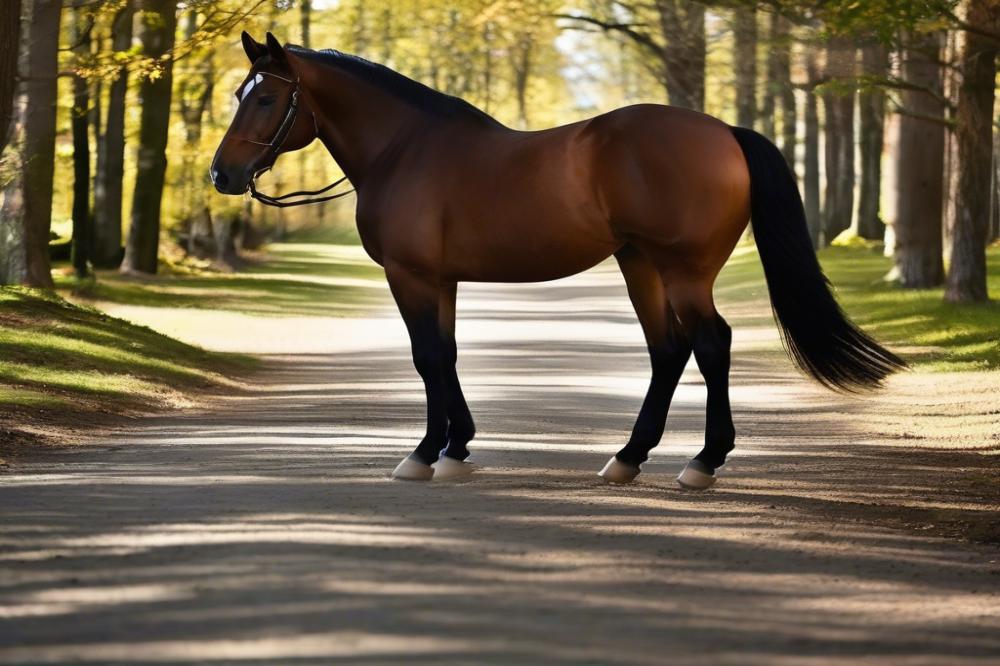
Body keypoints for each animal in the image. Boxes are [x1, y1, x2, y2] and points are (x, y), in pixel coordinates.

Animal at [211, 31, 908, 488]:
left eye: (266, 99)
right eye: (241, 93)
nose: (222, 175)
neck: (405, 149)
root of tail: (724, 133)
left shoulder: (411, 276)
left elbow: (427, 357)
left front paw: (424, 453)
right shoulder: (441, 279)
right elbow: (448, 354)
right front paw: (457, 447)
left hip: (684, 270)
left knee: (710, 344)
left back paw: (702, 463)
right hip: (641, 265)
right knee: (668, 351)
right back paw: (628, 457)